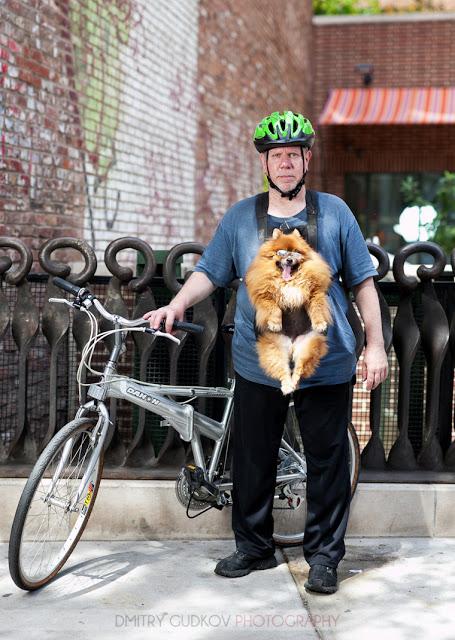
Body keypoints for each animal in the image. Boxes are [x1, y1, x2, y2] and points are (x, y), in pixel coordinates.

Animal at [248, 228, 334, 392]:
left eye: (295, 253)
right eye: (281, 252)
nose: (288, 259)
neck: (289, 281)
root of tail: (292, 344)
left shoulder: (313, 294)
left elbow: (317, 309)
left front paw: (320, 324)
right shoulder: (265, 295)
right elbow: (274, 308)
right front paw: (275, 324)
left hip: (307, 346)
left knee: (299, 369)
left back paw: (293, 383)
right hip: (275, 347)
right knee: (282, 370)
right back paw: (287, 386)